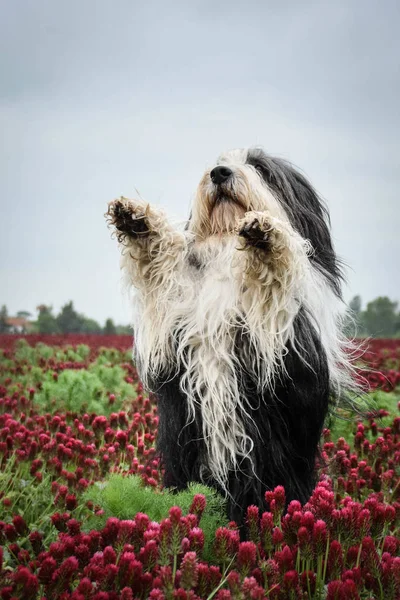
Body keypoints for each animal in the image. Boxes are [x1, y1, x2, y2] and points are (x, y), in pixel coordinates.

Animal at [106, 146, 356, 524]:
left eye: (260, 168)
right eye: (217, 162)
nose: (220, 173)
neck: (227, 249)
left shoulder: (280, 340)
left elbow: (274, 282)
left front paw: (265, 236)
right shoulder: (176, 315)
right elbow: (164, 271)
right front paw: (139, 221)